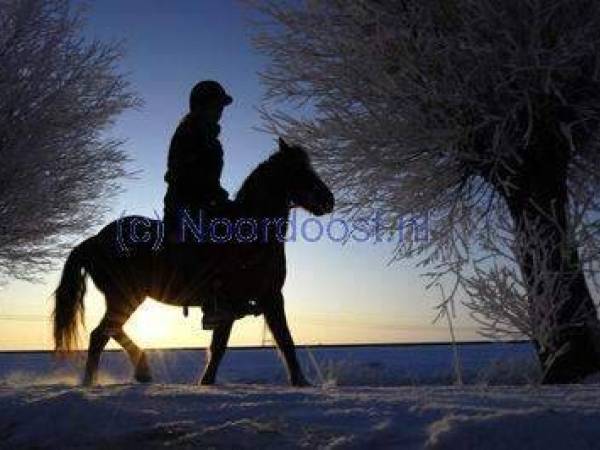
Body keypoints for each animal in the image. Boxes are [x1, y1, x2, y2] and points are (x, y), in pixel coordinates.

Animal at [51, 138, 332, 386]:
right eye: (299, 170)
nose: (328, 200)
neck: (250, 237)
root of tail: (95, 240)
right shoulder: (265, 297)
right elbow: (282, 340)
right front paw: (301, 382)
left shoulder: (250, 301)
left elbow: (228, 345)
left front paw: (206, 382)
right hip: (124, 296)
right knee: (100, 335)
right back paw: (92, 382)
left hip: (125, 297)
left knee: (111, 331)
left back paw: (140, 370)